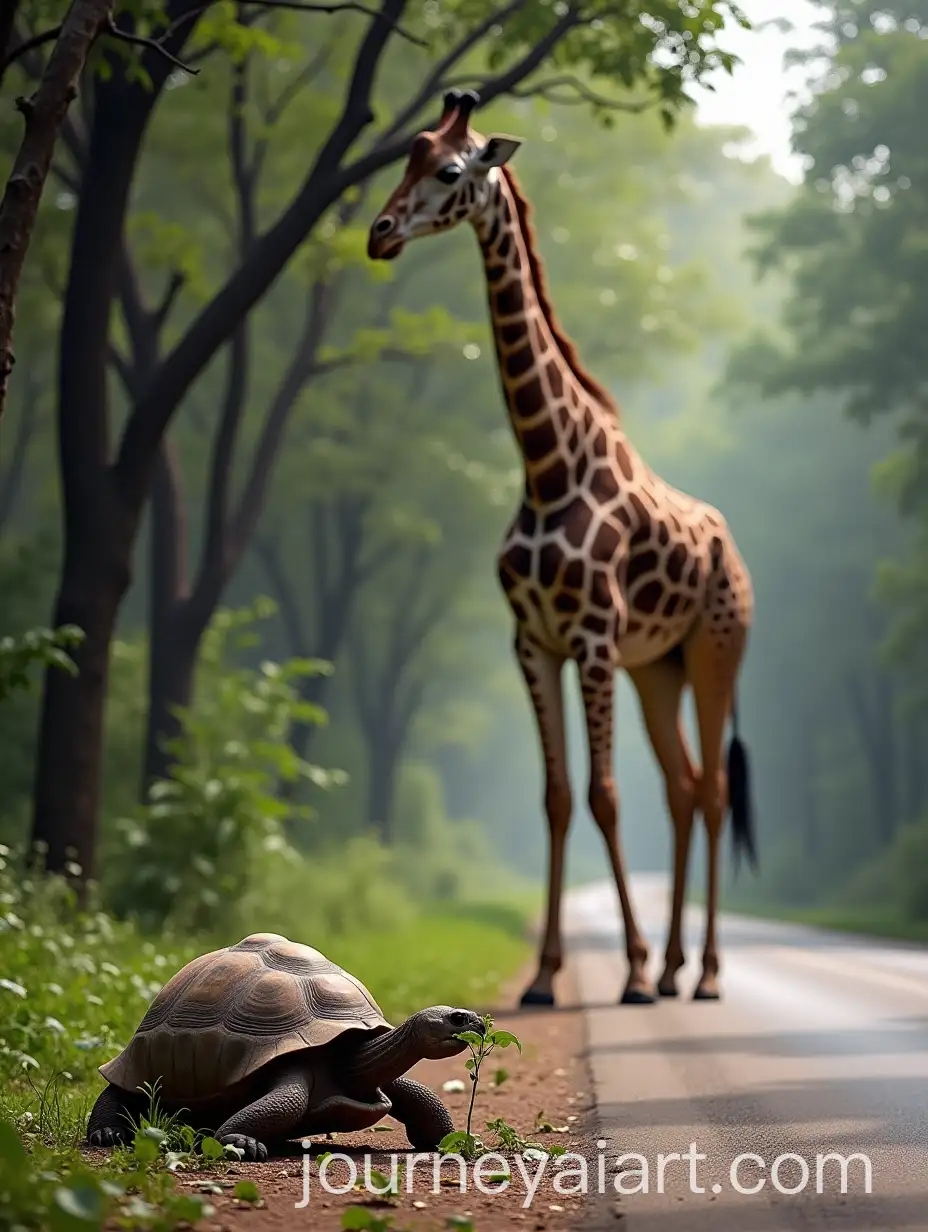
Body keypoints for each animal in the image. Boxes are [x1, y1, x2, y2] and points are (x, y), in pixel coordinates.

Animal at [367, 90, 756, 1006]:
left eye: (450, 169)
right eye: (404, 156)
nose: (380, 232)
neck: (547, 466)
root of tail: (732, 550)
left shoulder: (592, 638)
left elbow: (603, 795)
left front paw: (632, 972)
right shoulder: (534, 642)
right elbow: (555, 798)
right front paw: (548, 975)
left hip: (716, 651)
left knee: (714, 792)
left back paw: (702, 973)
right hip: (659, 668)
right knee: (683, 787)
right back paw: (680, 963)